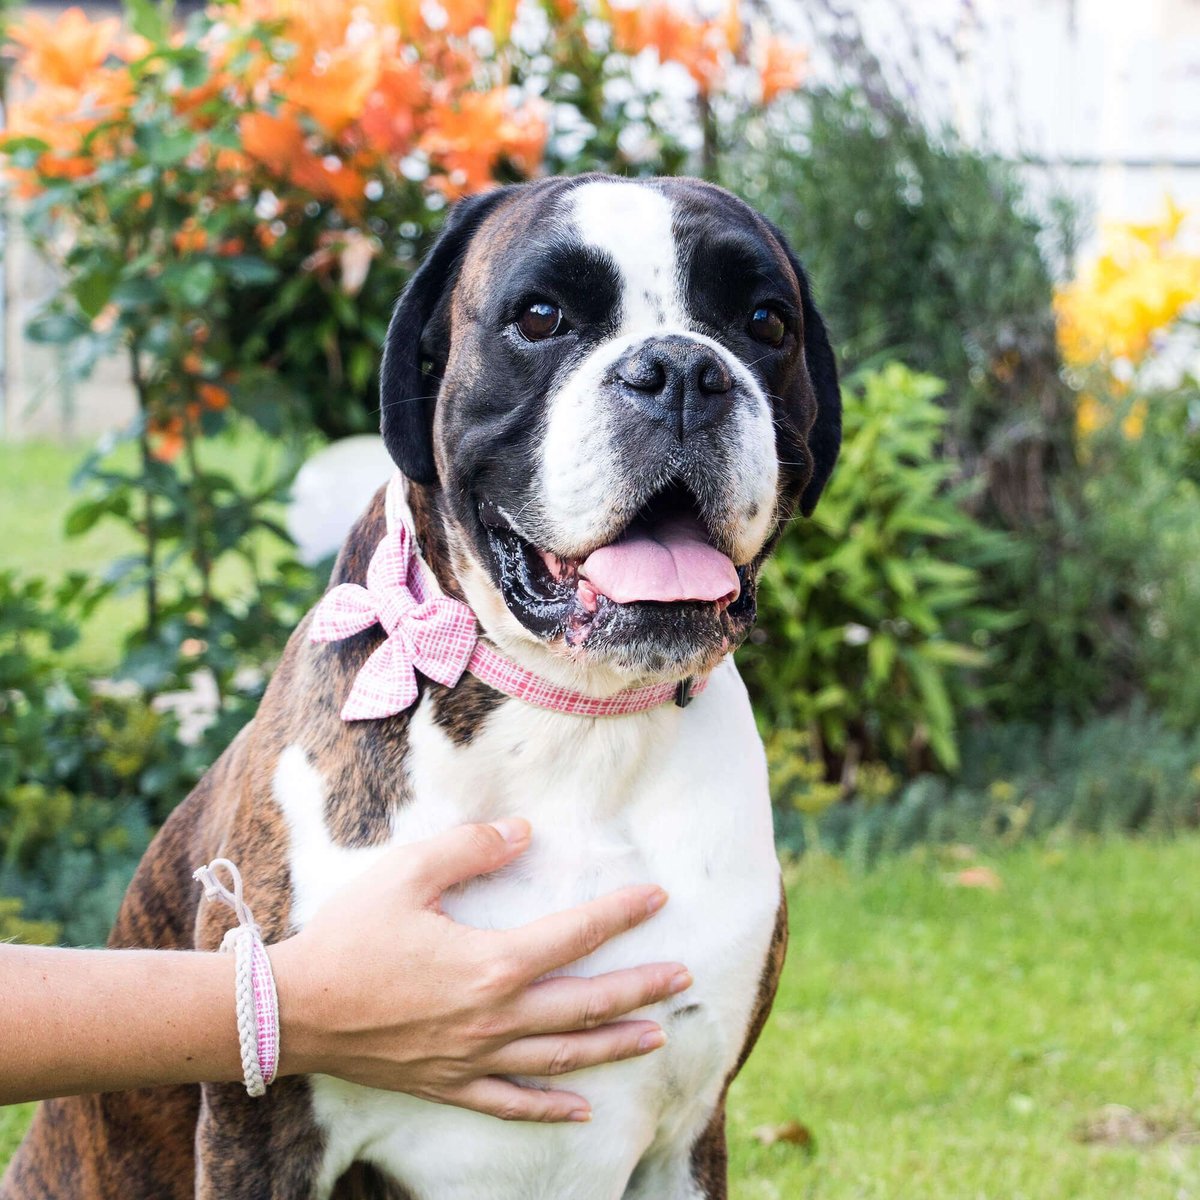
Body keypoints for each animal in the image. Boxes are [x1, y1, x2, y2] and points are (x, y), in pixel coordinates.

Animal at [0, 175, 840, 1200]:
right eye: (540, 317)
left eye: (764, 321)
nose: (681, 370)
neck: (572, 722)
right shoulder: (260, 1135)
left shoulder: (686, 1135)